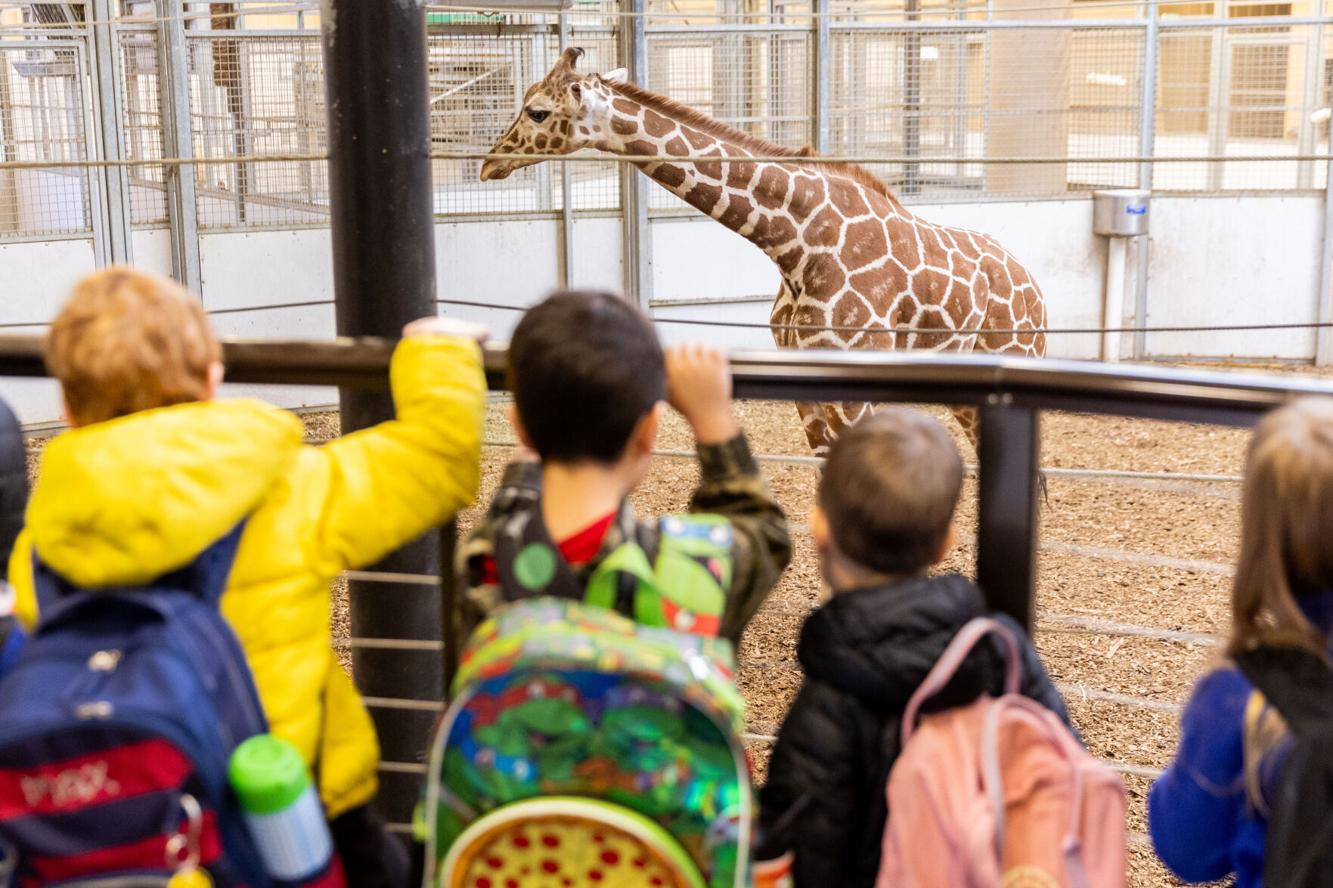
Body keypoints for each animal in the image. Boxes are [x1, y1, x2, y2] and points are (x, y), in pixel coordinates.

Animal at [485, 45, 1045, 453]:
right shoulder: (807, 388)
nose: (489, 162)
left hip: (1015, 356)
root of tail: (1034, 286)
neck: (798, 245)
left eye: (537, 111)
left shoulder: (855, 385)